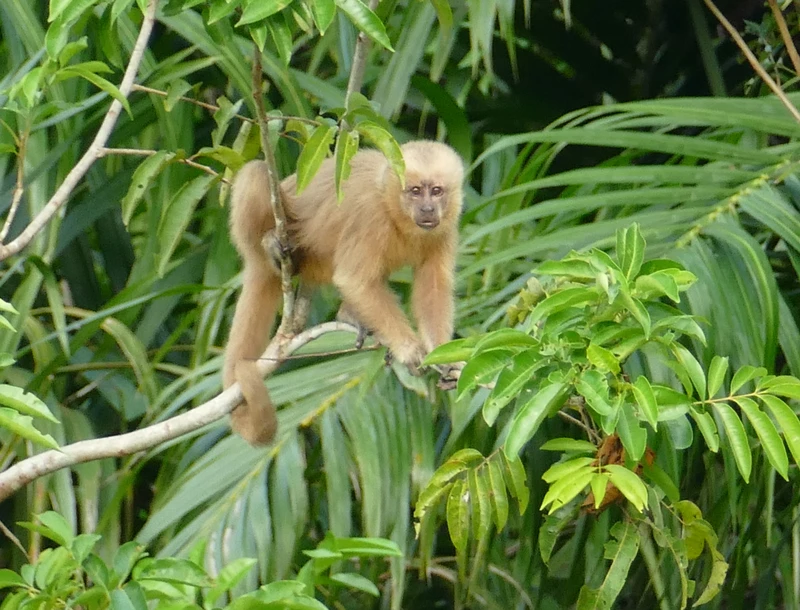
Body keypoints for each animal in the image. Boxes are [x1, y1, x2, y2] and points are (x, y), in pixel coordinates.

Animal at [223, 140, 464, 445]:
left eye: (437, 191)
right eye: (415, 191)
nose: (428, 208)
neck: (393, 208)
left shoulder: (446, 226)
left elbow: (434, 286)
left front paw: (443, 356)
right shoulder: (371, 216)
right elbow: (354, 280)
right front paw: (409, 351)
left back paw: (350, 316)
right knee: (256, 173)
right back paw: (269, 246)